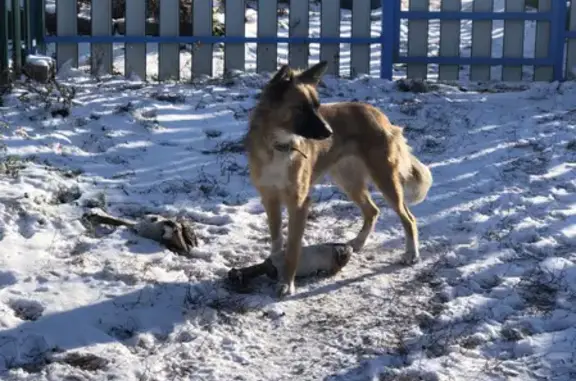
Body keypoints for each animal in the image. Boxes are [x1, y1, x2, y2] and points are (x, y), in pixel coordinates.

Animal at [244, 60, 432, 296]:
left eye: (317, 106)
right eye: (301, 108)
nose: (330, 133)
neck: (280, 145)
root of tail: (379, 114)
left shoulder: (299, 203)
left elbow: (293, 248)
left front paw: (287, 283)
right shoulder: (270, 199)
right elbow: (277, 239)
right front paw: (275, 264)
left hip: (385, 179)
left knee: (408, 217)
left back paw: (412, 254)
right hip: (348, 181)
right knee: (373, 210)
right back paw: (358, 243)